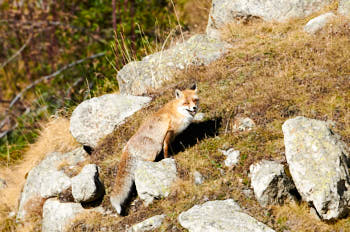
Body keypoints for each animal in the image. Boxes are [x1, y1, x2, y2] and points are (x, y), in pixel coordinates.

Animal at [110, 84, 201, 214]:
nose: (194, 107)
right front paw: (168, 158)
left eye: (195, 100)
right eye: (186, 103)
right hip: (155, 148)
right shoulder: (168, 132)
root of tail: (127, 147)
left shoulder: (172, 135)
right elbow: (166, 148)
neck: (177, 111)